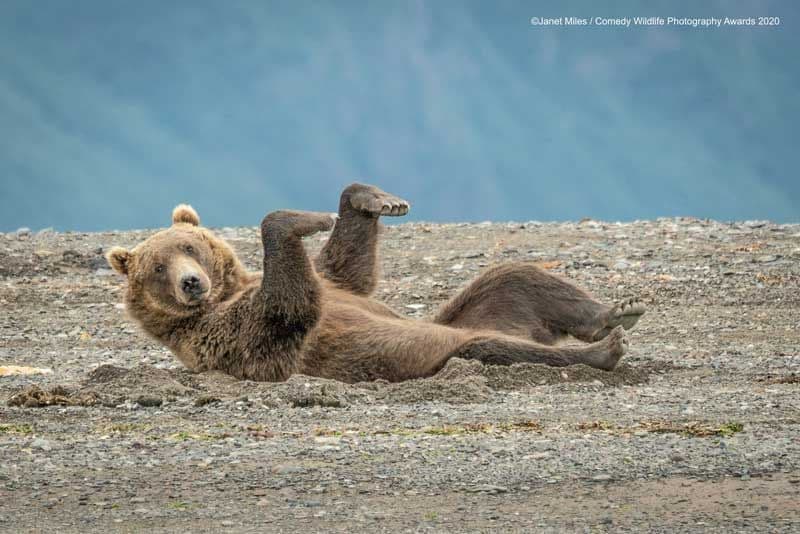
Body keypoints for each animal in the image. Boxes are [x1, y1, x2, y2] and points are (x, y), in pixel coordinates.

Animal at [106, 184, 648, 386]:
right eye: (157, 268)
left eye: (189, 246)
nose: (191, 283)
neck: (228, 291)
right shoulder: (226, 335)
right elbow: (289, 308)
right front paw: (304, 217)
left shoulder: (333, 282)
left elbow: (346, 267)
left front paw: (376, 201)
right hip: (437, 348)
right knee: (493, 346)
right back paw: (602, 350)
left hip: (483, 306)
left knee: (513, 277)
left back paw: (616, 311)